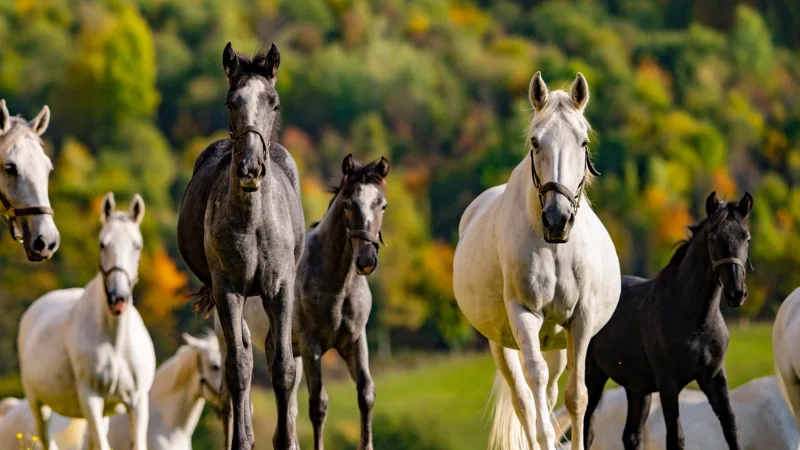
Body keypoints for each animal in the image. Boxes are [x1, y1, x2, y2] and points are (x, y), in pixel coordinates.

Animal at [18, 192, 155, 450]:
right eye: (103, 244)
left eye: (137, 246)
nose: (118, 298)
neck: (115, 341)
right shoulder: (91, 398)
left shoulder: (137, 403)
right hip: (39, 406)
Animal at [177, 42, 305, 450]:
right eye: (230, 102)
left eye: (273, 102)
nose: (250, 167)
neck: (254, 224)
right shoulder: (227, 289)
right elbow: (237, 367)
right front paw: (242, 440)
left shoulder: (280, 289)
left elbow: (283, 365)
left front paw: (285, 440)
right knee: (244, 353)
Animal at [215, 154, 390, 450]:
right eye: (347, 204)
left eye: (382, 205)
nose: (366, 260)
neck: (339, 283)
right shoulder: (312, 346)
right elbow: (318, 404)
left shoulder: (355, 340)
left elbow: (366, 393)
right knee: (233, 399)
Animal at [453, 72, 621, 450]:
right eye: (535, 142)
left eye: (583, 142)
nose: (557, 219)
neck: (556, 250)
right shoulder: (524, 315)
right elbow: (536, 399)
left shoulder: (581, 320)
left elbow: (576, 397)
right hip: (501, 345)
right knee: (526, 402)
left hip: (556, 343)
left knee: (551, 391)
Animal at [583, 192, 753, 450]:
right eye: (713, 239)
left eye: (747, 238)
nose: (736, 293)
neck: (696, 321)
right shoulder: (668, 384)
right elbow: (676, 437)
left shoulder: (714, 377)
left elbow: (731, 428)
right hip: (593, 376)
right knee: (585, 426)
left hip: (637, 388)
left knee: (631, 435)